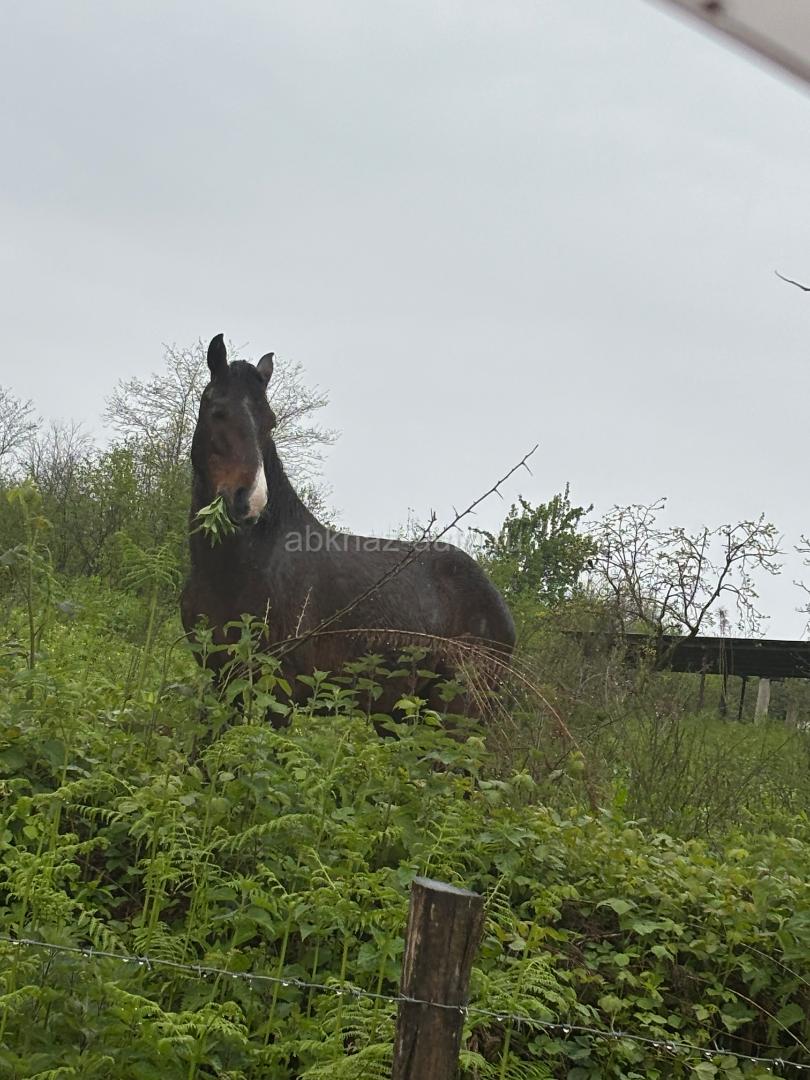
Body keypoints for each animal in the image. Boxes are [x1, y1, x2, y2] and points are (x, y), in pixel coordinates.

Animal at [180, 334, 516, 720]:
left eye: (271, 422)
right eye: (218, 411)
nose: (249, 500)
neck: (244, 567)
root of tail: (499, 605)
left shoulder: (277, 695)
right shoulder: (221, 682)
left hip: (458, 711)